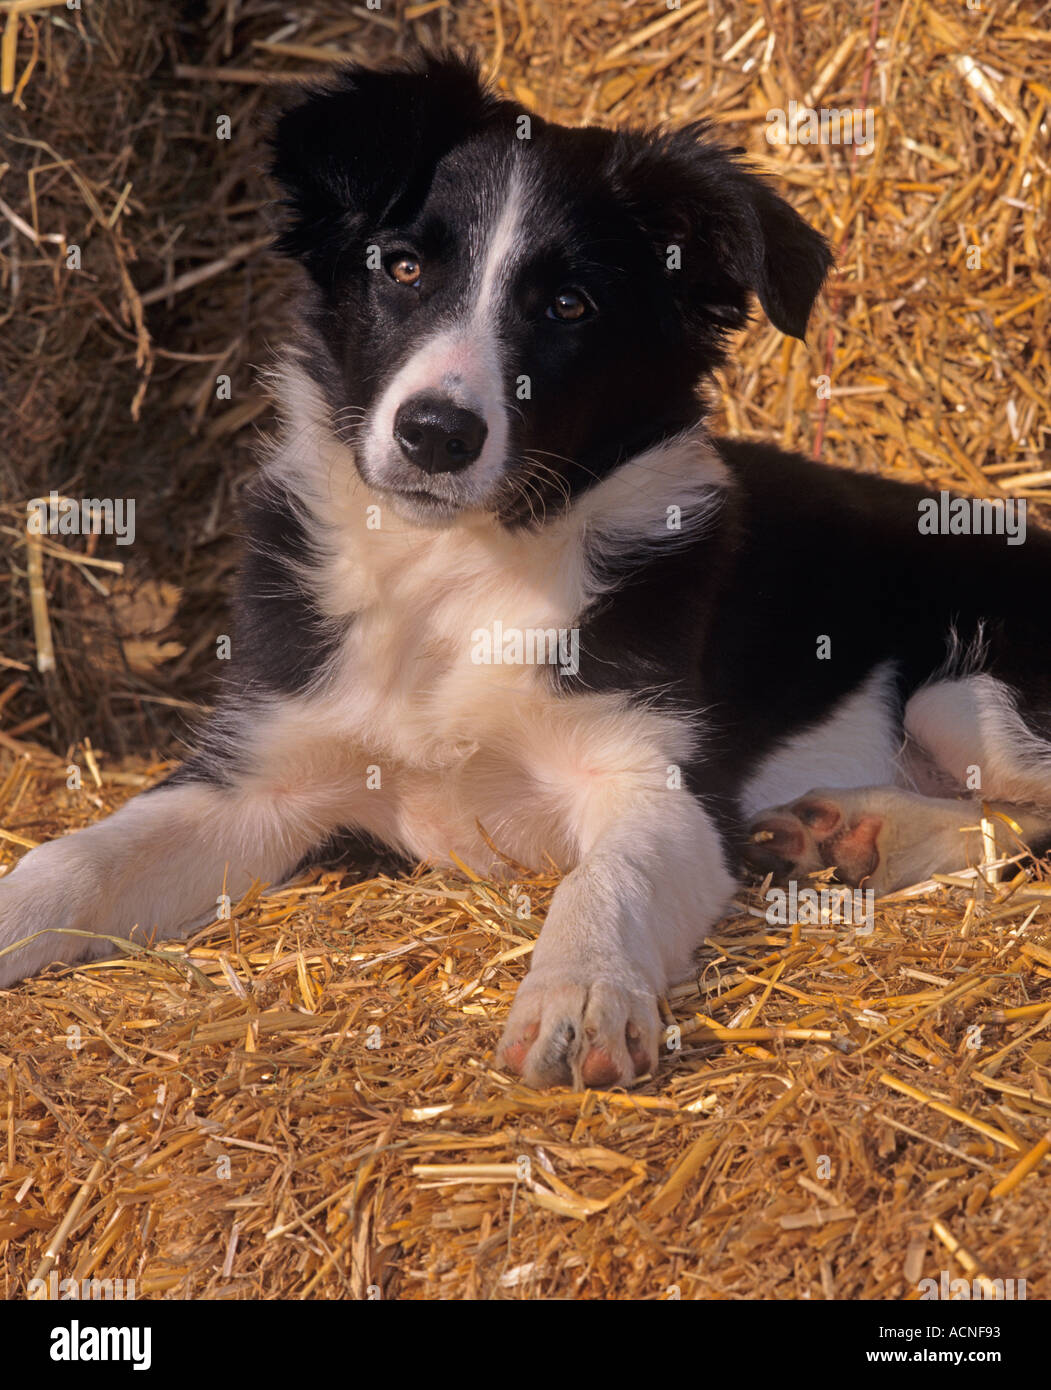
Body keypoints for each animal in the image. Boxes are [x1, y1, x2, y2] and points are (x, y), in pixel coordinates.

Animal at [2, 54, 1051, 1089]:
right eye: (402, 266)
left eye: (568, 306)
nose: (435, 435)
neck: (456, 569)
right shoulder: (260, 774)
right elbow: (79, 859)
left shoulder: (656, 783)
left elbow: (607, 879)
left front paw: (581, 993)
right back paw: (846, 832)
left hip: (963, 696)